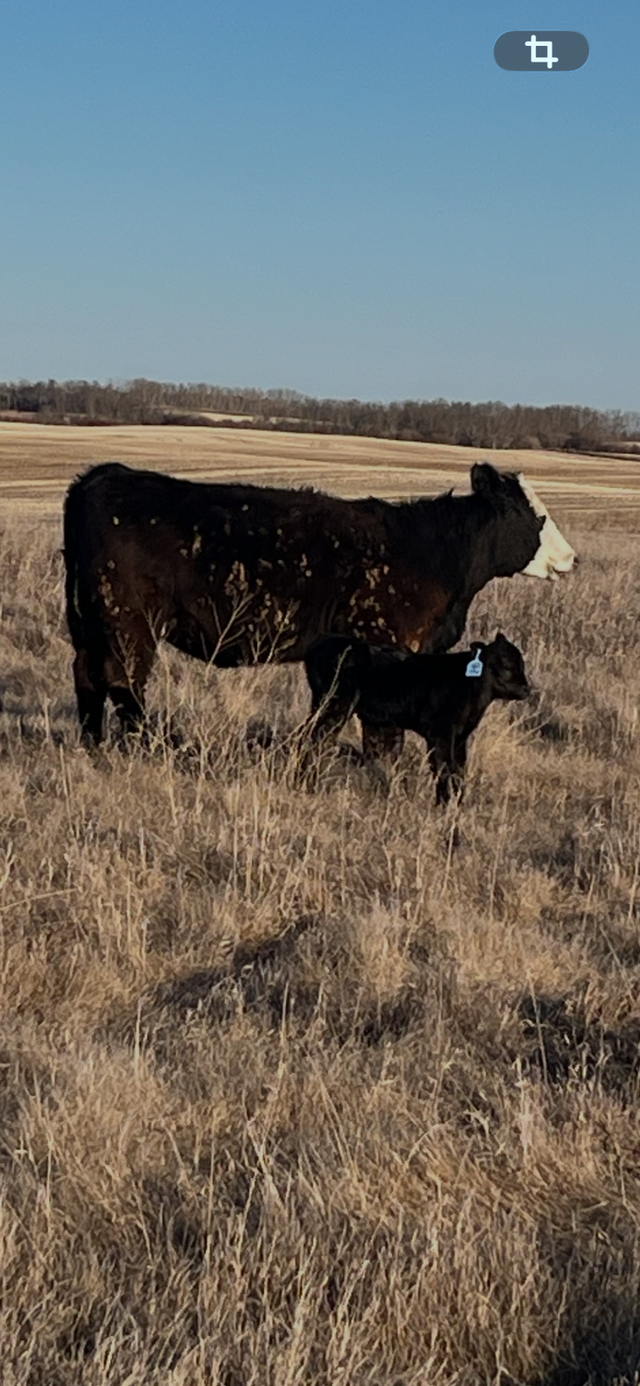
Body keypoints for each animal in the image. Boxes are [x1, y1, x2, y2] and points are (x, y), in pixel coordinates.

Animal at [62, 460, 574, 745]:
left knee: (87, 676)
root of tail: (107, 475)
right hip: (131, 623)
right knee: (123, 681)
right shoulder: (389, 644)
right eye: (530, 514)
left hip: (89, 623)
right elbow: (380, 728)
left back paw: (94, 745)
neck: (431, 551)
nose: (570, 556)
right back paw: (145, 746)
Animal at [302, 631, 531, 802]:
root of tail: (319, 644)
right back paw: (308, 784)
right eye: (504, 664)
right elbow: (442, 770)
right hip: (333, 706)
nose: (525, 689)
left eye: (521, 663)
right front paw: (443, 807)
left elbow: (459, 773)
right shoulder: (439, 734)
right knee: (315, 740)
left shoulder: (460, 738)